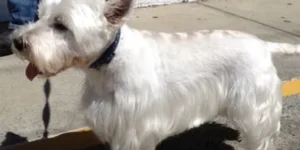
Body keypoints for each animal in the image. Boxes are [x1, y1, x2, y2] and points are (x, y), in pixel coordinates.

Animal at [9, 0, 300, 149]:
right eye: (40, 15)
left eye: (61, 25)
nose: (18, 41)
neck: (110, 59)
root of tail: (264, 45)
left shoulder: (135, 126)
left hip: (255, 102)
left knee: (262, 135)